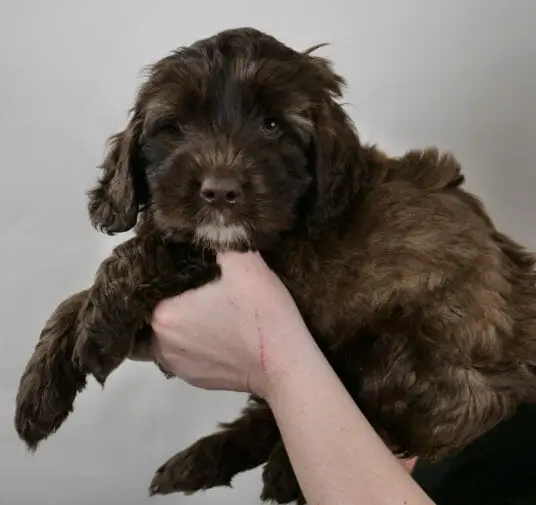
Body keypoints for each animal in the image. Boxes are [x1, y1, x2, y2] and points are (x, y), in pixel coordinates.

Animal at [12, 28, 536, 504]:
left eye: (271, 126)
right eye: (174, 127)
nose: (220, 192)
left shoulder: (265, 258)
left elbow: (147, 252)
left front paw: (100, 325)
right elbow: (71, 300)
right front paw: (40, 390)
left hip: (419, 344)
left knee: (446, 411)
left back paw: (284, 471)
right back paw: (199, 463)